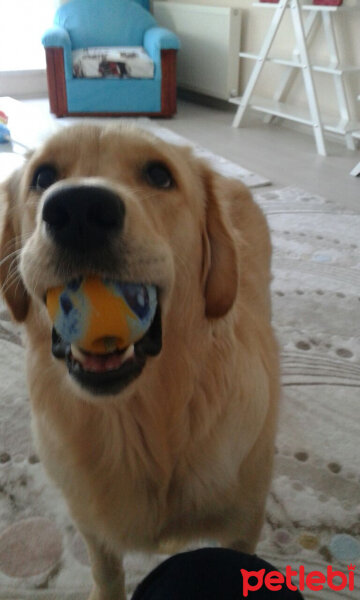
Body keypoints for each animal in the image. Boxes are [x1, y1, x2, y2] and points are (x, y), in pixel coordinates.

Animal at [0, 123, 278, 600]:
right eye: (43, 176)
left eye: (159, 175)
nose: (78, 209)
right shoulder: (92, 524)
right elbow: (105, 570)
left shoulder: (244, 527)